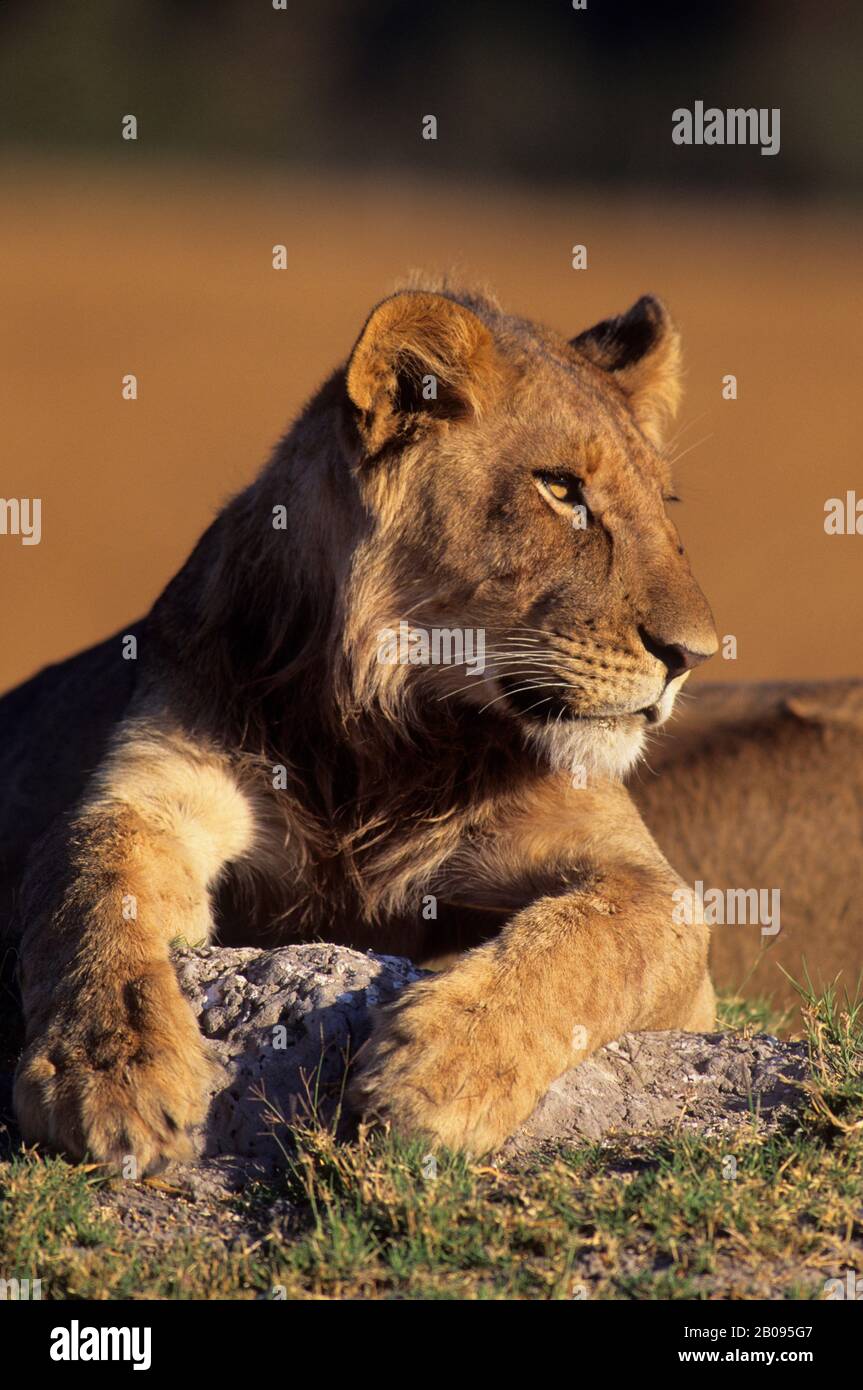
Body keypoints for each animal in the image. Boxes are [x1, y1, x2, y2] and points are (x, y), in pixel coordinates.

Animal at [1, 278, 854, 1173]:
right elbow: (92, 893)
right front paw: (109, 1073)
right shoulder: (151, 791)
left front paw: (440, 1069)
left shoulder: (648, 884)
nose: (691, 655)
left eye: (664, 503)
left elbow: (590, 942)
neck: (378, 734)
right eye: (560, 489)